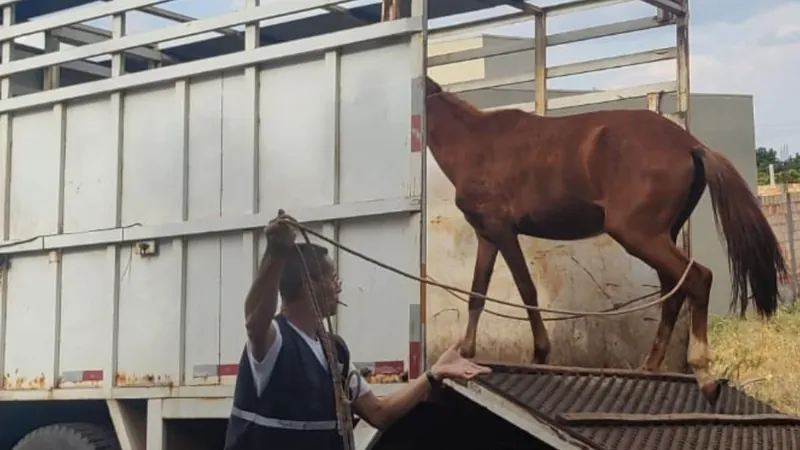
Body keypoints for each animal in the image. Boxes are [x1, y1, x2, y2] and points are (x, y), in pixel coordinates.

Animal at [424, 74, 788, 404]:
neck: (474, 142)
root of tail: (691, 145)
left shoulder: (502, 230)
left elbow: (526, 290)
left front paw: (540, 353)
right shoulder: (486, 234)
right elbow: (477, 294)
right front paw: (466, 353)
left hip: (637, 234)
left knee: (698, 278)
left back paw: (703, 374)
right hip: (660, 235)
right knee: (673, 290)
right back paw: (650, 367)